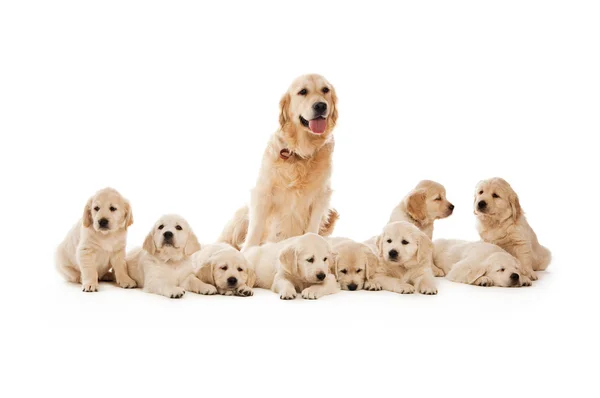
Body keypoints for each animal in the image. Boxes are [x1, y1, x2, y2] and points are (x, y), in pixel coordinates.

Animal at [221, 73, 342, 250]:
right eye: (303, 91)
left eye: (325, 90)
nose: (320, 105)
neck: (300, 152)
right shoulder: (263, 192)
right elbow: (255, 228)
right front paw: (248, 251)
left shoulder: (321, 195)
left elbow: (312, 227)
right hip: (240, 216)